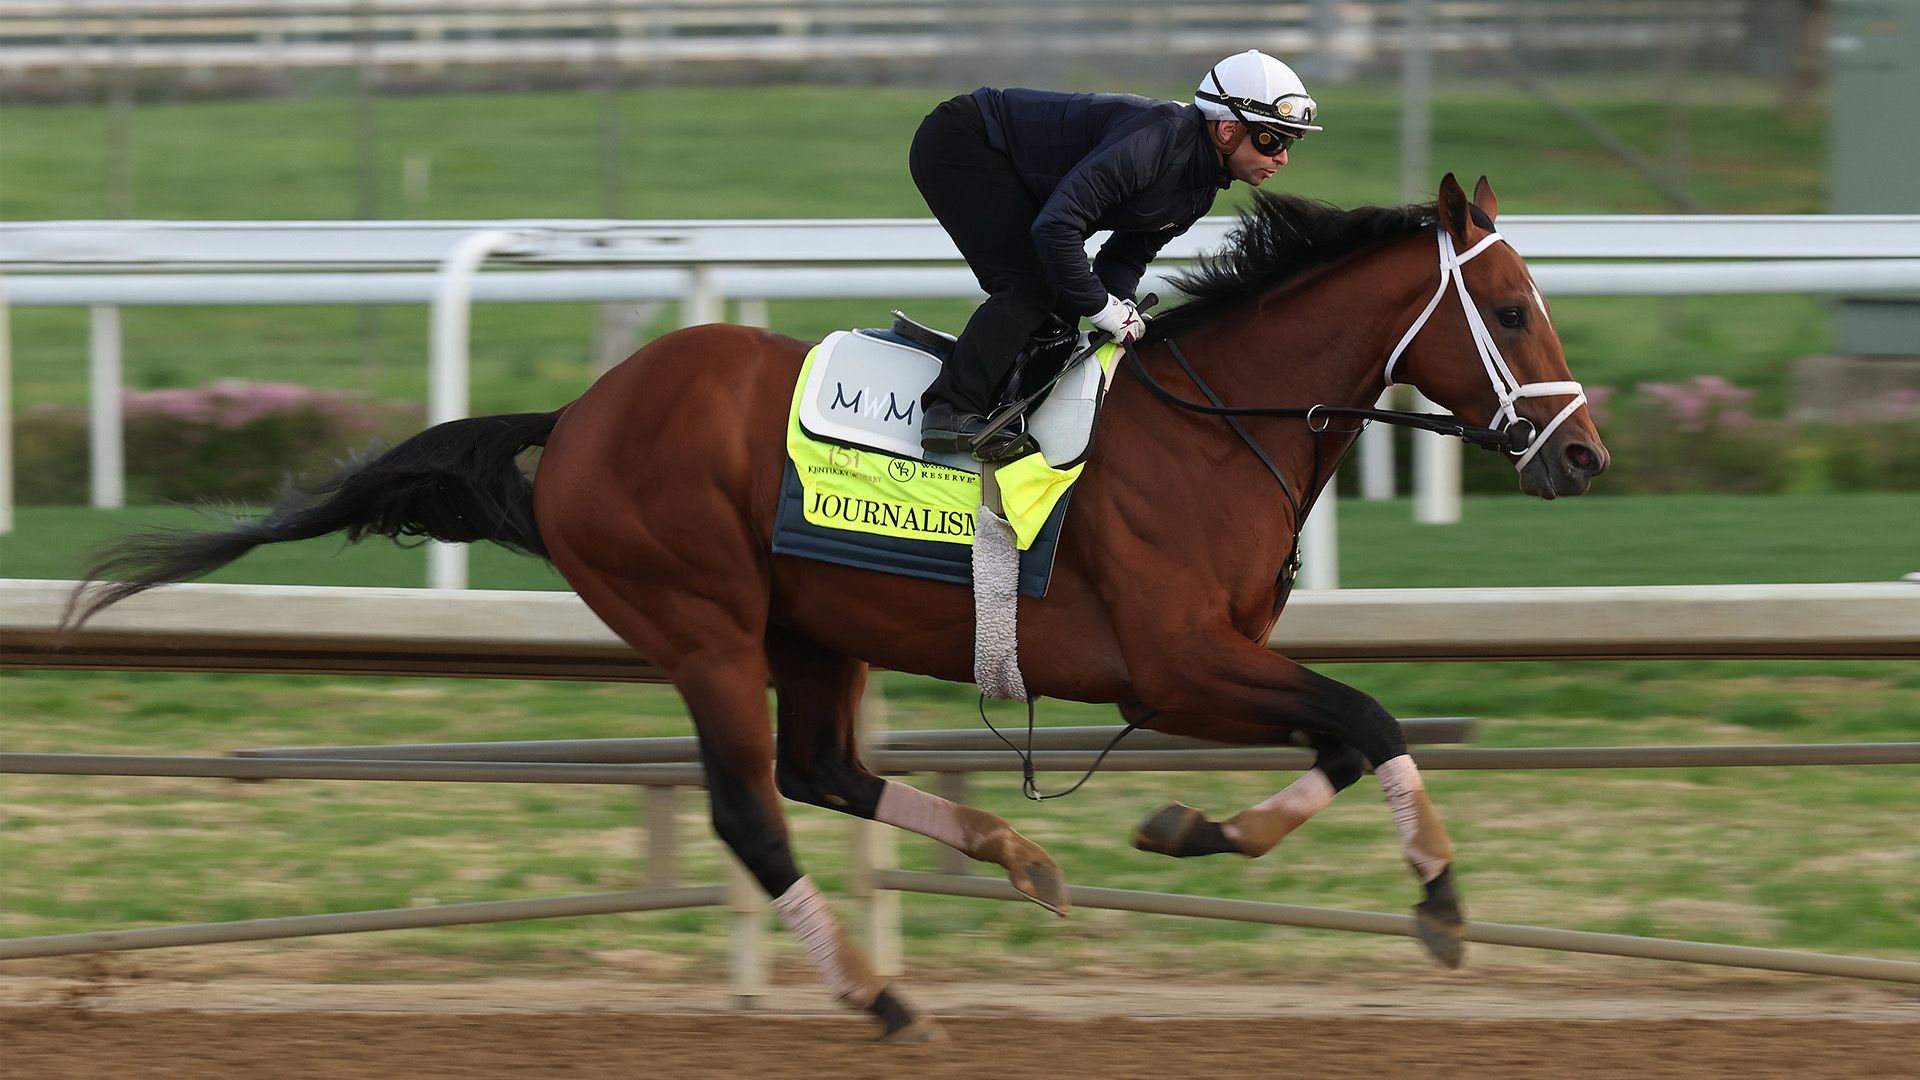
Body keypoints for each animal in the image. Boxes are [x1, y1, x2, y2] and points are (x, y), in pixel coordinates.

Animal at [70, 174, 1607, 1041]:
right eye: (1512, 311)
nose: (1584, 454)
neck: (1212, 429)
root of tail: (582, 415)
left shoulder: (1210, 668)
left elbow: (1346, 732)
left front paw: (1194, 830)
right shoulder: (1173, 668)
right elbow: (1371, 715)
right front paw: (1438, 900)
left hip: (812, 630)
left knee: (822, 769)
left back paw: (1010, 855)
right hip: (699, 625)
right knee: (755, 811)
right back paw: (881, 996)